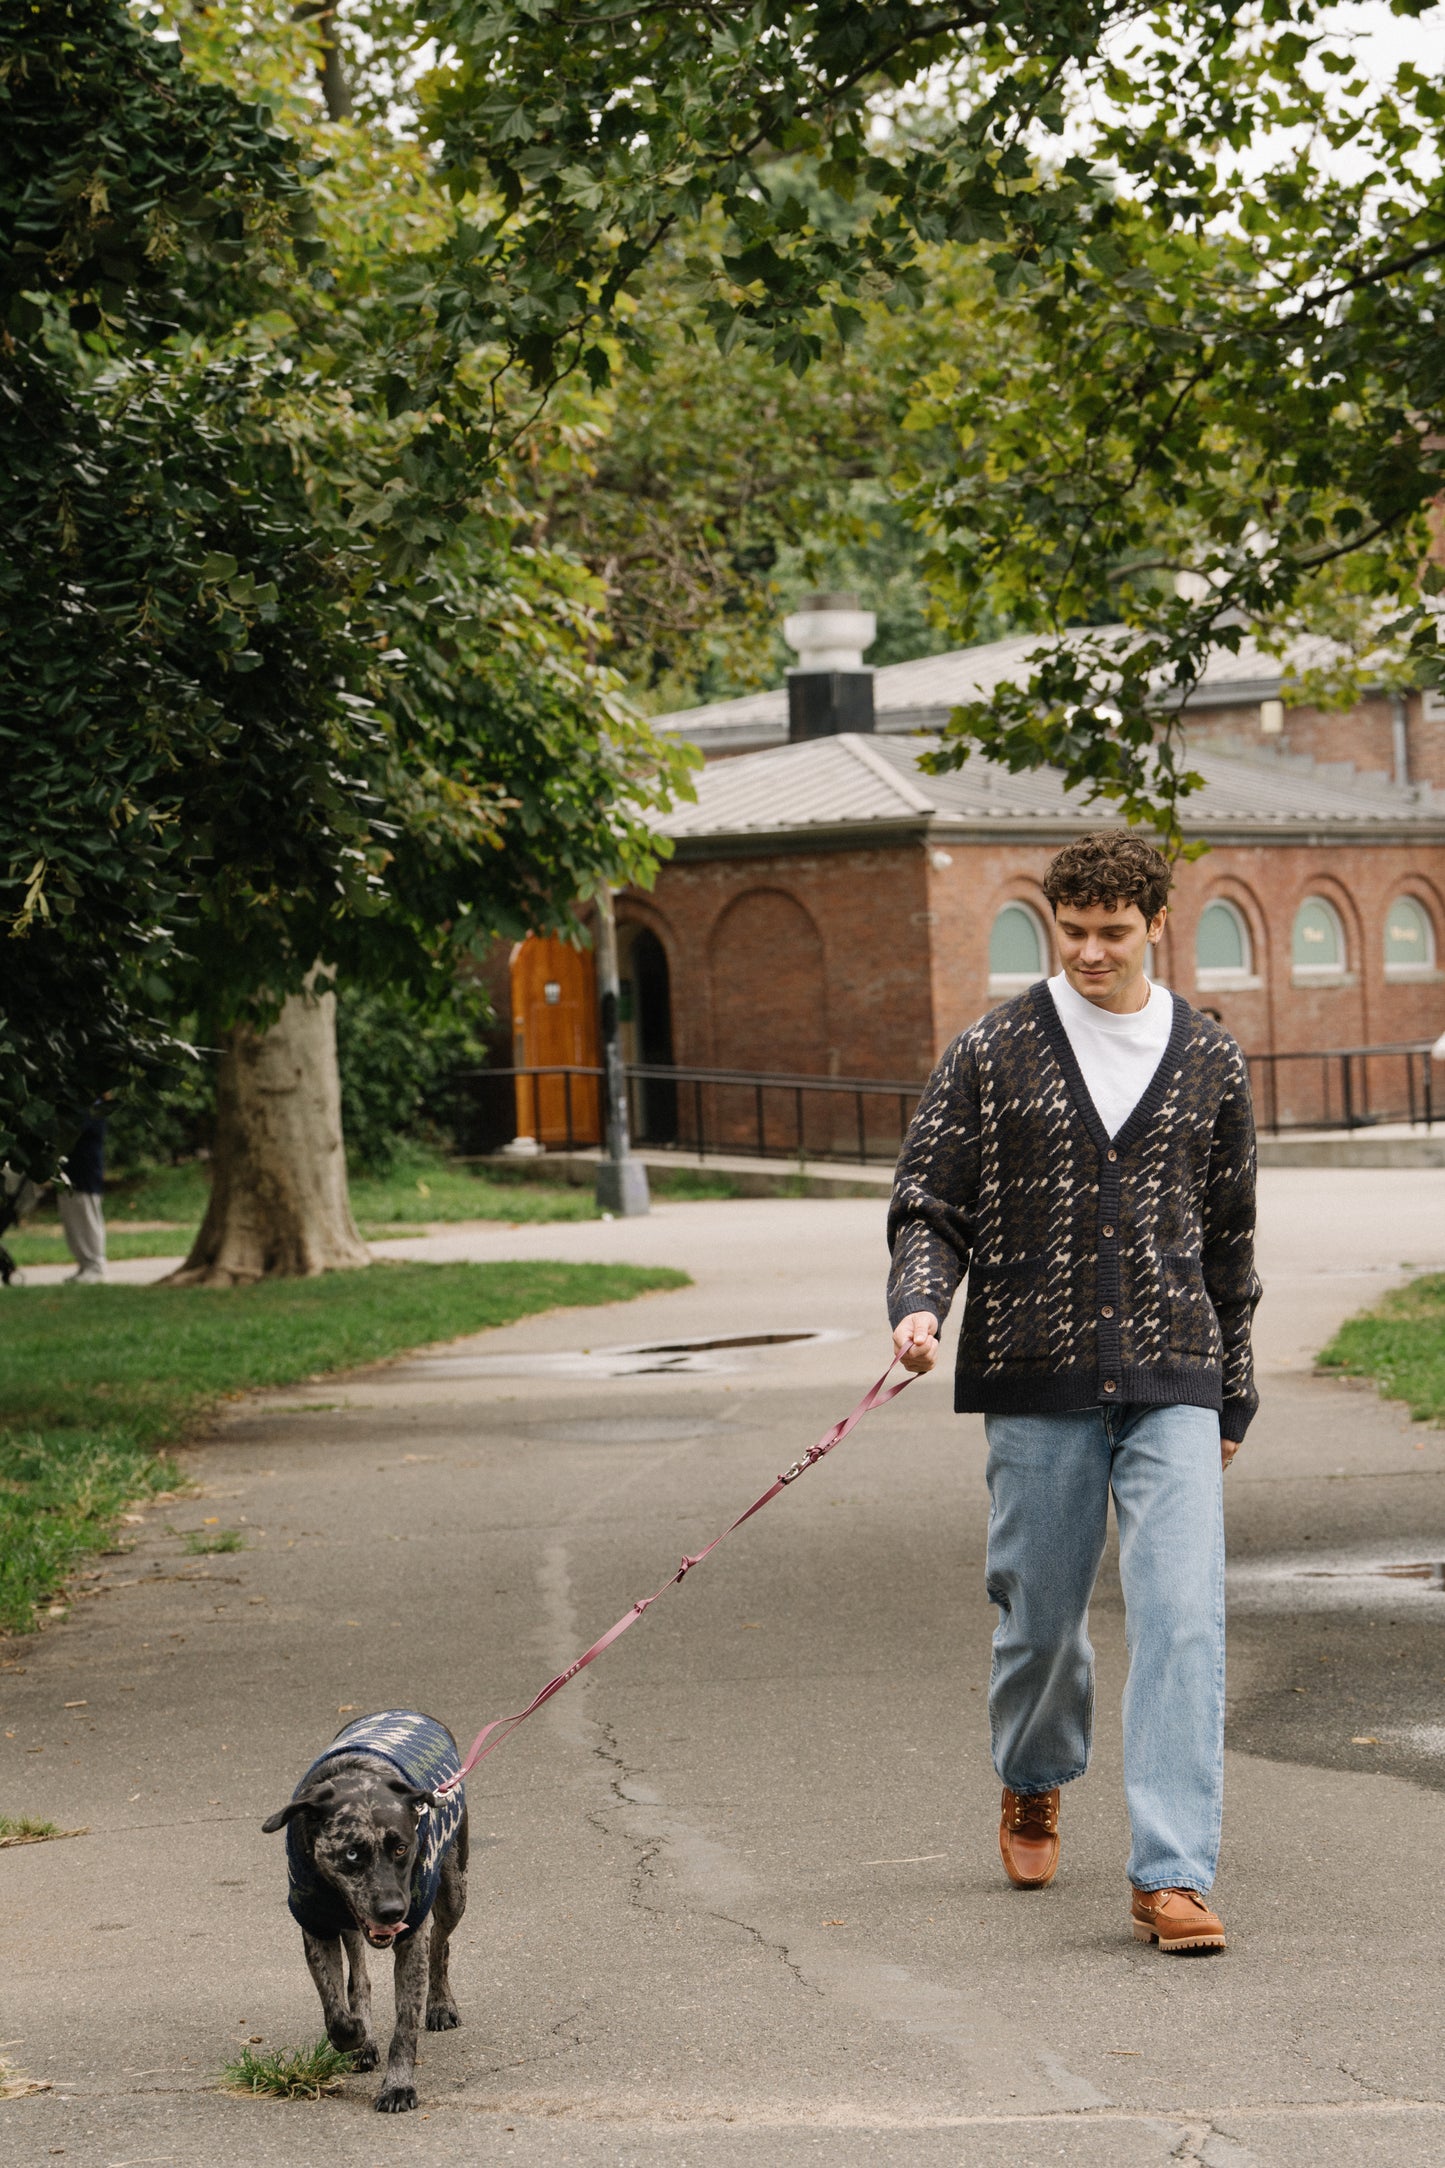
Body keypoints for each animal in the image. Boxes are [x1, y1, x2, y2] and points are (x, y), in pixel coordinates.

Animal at [263, 1699, 472, 2107]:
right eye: (352, 1853)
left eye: (402, 1848)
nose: (393, 1911)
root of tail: (410, 1711)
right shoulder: (318, 1929)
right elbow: (337, 2009)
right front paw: (356, 2037)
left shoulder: (411, 1937)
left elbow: (405, 2024)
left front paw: (399, 2085)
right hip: (352, 1927)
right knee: (359, 1979)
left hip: (454, 1893)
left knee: (441, 1945)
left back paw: (441, 2005)